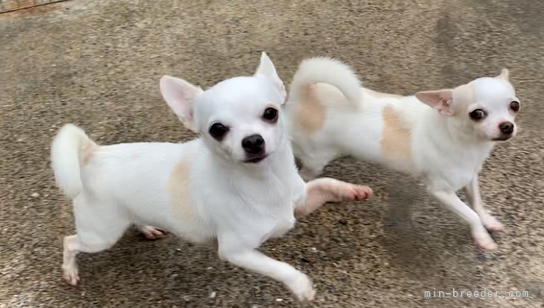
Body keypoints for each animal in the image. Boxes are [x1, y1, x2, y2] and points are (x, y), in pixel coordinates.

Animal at [51, 53, 372, 300]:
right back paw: (69, 270)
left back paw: (146, 227)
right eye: (218, 129)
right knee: (70, 242)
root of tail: (93, 153)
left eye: (271, 113)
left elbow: (324, 183)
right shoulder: (236, 252)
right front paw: (301, 286)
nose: (252, 141)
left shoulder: (299, 204)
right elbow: (280, 268)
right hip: (100, 235)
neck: (267, 182)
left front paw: (353, 190)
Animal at [282, 57, 520, 250]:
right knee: (305, 175)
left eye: (514, 106)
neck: (465, 141)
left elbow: (477, 203)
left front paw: (489, 221)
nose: (507, 126)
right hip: (314, 160)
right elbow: (470, 214)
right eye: (477, 114)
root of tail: (303, 95)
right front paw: (482, 236)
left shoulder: (470, 177)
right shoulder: (441, 191)